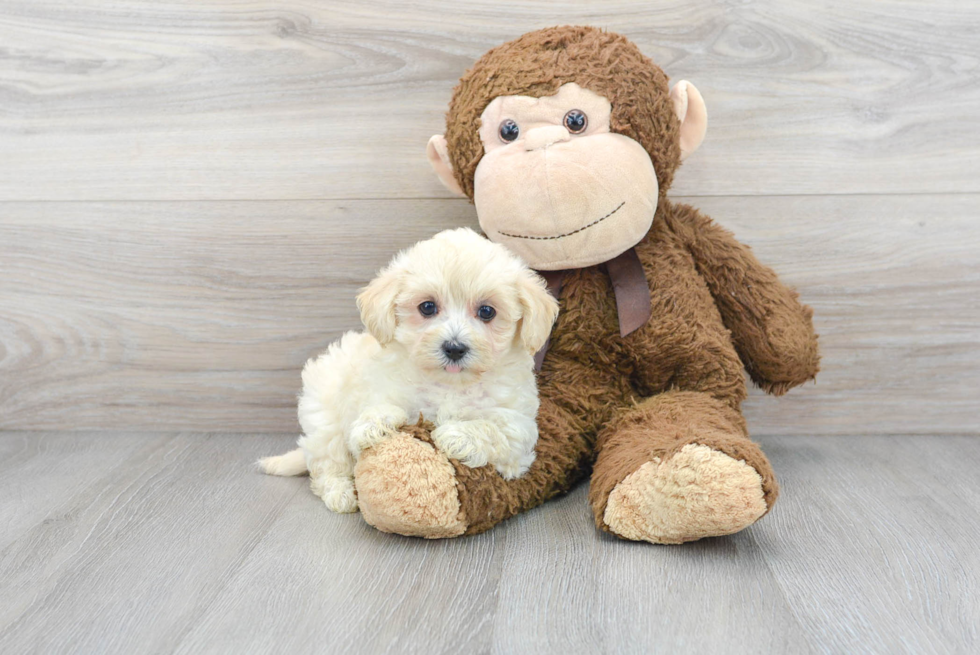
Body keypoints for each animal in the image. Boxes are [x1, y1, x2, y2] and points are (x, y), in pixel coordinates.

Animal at [260, 228, 560, 516]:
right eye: (427, 307)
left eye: (487, 311)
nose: (454, 348)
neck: (449, 383)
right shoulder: (376, 389)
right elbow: (378, 410)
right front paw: (373, 425)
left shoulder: (519, 429)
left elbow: (494, 429)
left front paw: (457, 435)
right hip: (323, 416)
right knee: (327, 464)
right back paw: (341, 494)